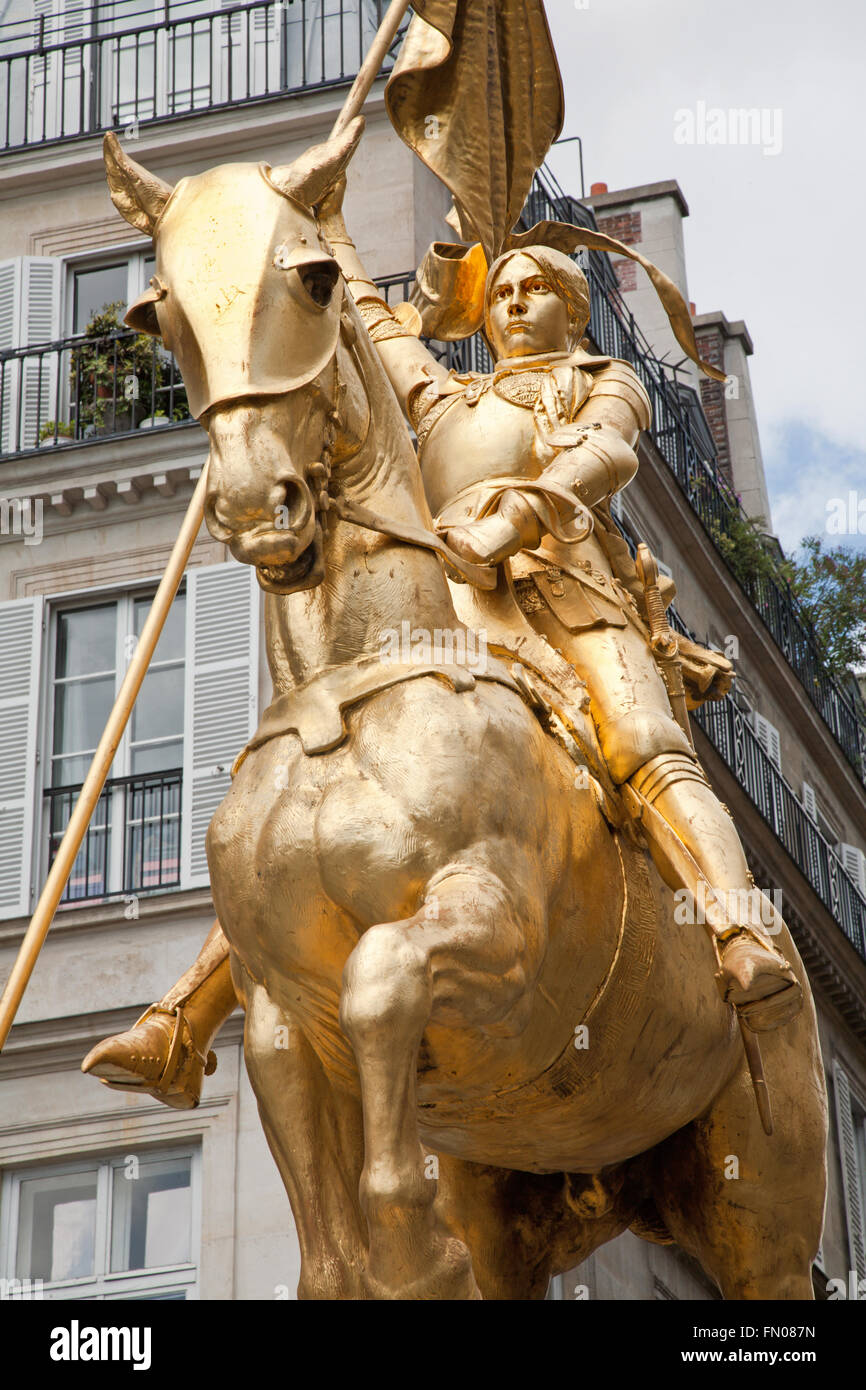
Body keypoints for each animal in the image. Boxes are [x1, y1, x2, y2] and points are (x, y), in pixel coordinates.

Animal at [104, 125, 828, 1295]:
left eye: (307, 281)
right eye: (156, 310)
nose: (258, 503)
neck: (346, 698)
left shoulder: (497, 929)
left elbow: (383, 980)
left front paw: (409, 1236)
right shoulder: (276, 1009)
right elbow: (328, 1249)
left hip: (760, 1201)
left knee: (659, 761)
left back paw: (749, 956)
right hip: (525, 1194)